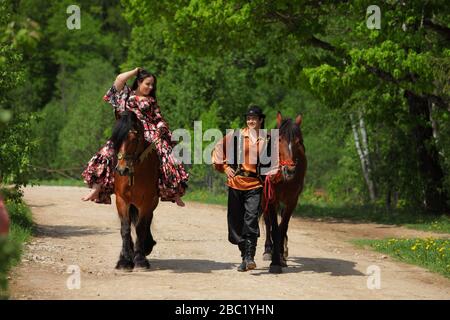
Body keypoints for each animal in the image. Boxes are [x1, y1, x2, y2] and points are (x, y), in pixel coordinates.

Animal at [111, 111, 159, 272]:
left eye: (133, 138)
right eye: (115, 139)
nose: (121, 170)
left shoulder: (146, 202)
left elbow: (140, 227)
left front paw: (140, 259)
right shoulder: (121, 200)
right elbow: (125, 228)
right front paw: (124, 260)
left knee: (147, 221)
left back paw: (146, 246)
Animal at [264, 111, 306, 274]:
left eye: (299, 141)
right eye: (279, 139)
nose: (290, 170)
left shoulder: (292, 200)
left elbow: (283, 227)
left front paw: (281, 256)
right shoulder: (271, 199)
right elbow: (274, 227)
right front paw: (275, 261)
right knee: (267, 222)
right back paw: (267, 250)